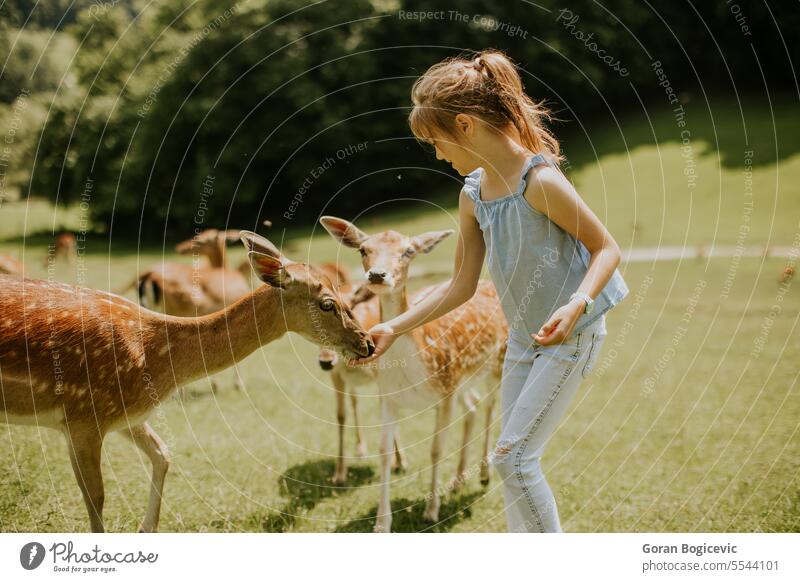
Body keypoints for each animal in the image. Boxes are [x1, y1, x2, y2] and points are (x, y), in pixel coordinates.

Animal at [0, 233, 376, 532]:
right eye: (327, 303)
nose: (368, 343)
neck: (152, 358)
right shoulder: (82, 416)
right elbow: (96, 497)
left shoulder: (126, 416)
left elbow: (163, 455)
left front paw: (145, 529)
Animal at [320, 218, 504, 532]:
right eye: (363, 250)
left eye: (408, 251)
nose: (377, 274)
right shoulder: (389, 397)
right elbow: (383, 451)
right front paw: (382, 523)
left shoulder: (445, 390)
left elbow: (435, 449)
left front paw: (431, 510)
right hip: (464, 380)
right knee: (473, 406)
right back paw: (457, 480)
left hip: (497, 363)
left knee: (491, 407)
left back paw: (483, 474)